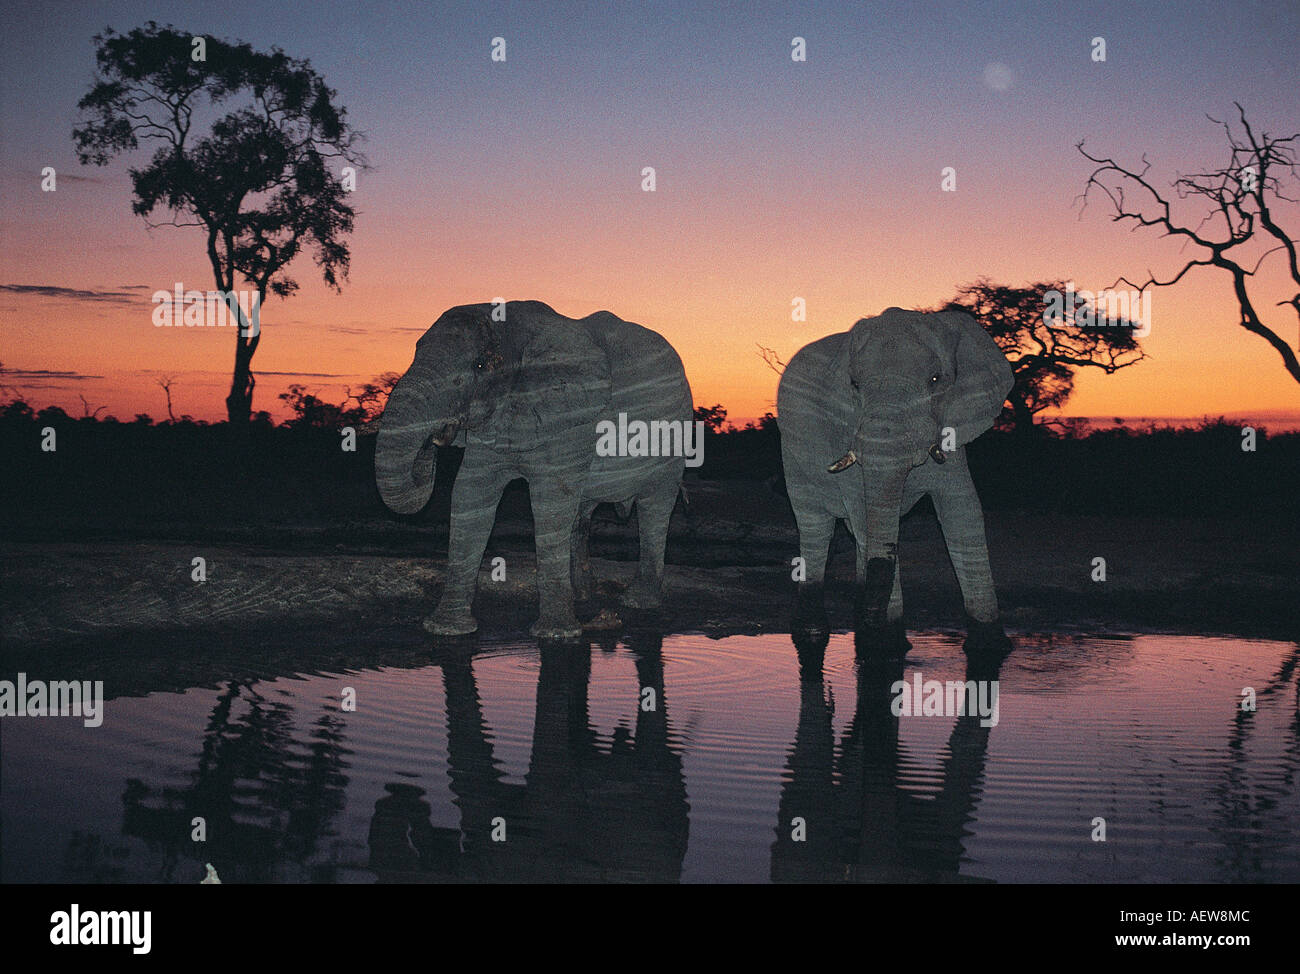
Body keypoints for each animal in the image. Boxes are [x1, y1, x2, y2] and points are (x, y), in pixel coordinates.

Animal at [371, 300, 696, 642]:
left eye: (479, 366)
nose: (436, 436)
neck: (511, 329)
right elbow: (470, 494)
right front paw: (447, 630)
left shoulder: (572, 416)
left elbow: (550, 501)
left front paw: (556, 635)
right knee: (581, 512)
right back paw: (584, 597)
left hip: (675, 437)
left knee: (654, 507)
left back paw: (638, 602)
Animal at [774, 305, 1008, 660]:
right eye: (854, 384)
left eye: (936, 380)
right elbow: (864, 514)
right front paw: (888, 652)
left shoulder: (953, 427)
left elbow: (963, 513)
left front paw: (991, 648)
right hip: (792, 451)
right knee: (817, 525)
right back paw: (813, 634)